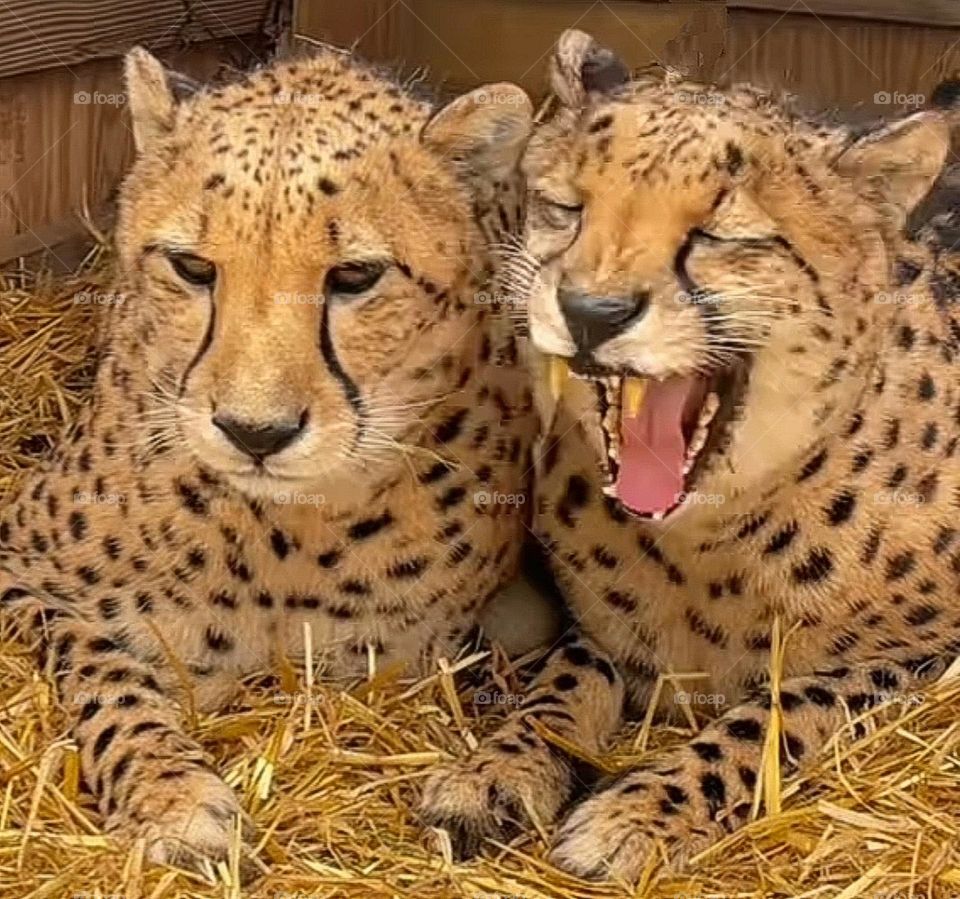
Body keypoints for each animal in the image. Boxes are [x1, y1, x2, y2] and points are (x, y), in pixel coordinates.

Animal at [0, 44, 539, 873]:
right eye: (191, 267)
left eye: (355, 276)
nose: (255, 432)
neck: (287, 535)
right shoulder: (23, 570)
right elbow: (99, 662)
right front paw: (171, 794)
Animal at [420, 28, 960, 882]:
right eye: (568, 209)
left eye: (719, 236)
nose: (589, 311)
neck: (709, 538)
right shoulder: (597, 635)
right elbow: (558, 689)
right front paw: (497, 770)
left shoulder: (923, 657)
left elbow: (776, 710)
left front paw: (643, 809)